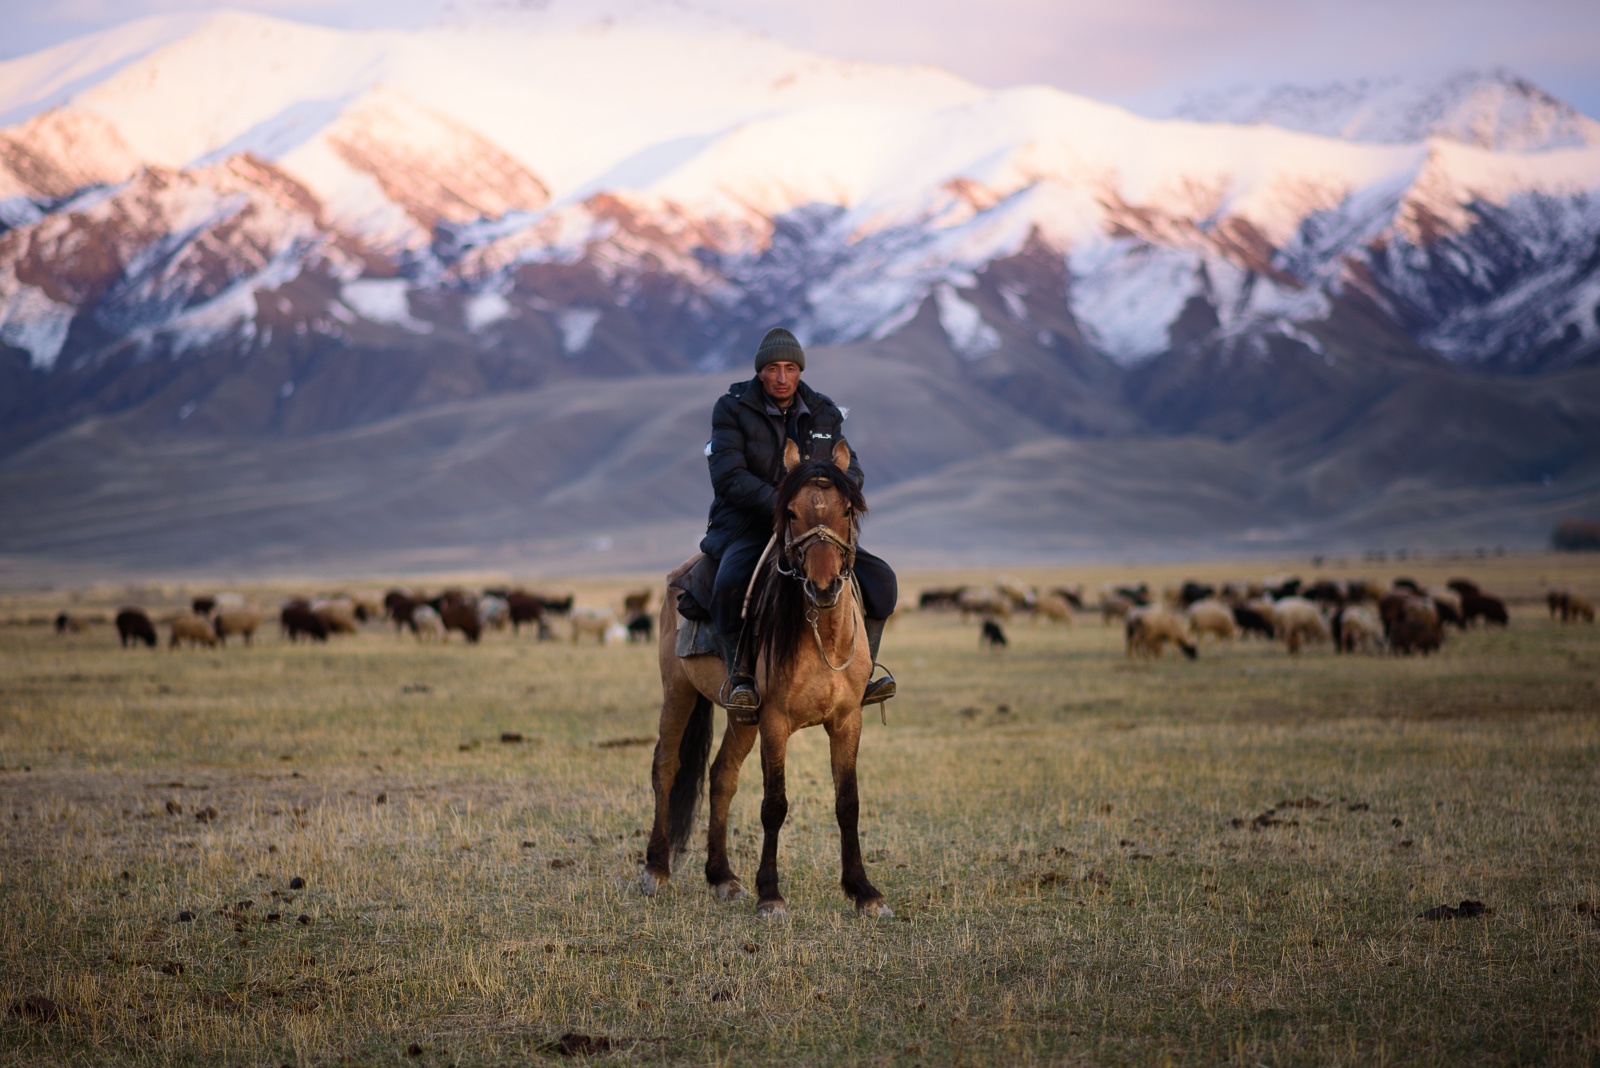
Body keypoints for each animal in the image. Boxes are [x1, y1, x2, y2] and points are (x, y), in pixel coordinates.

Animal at [636, 438, 896, 920]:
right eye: (790, 512)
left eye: (847, 509)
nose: (824, 586)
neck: (824, 636)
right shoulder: (775, 721)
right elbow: (774, 804)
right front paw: (771, 895)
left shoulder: (848, 720)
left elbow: (847, 802)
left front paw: (864, 891)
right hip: (679, 691)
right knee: (666, 766)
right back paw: (656, 869)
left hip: (742, 716)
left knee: (721, 775)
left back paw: (723, 877)